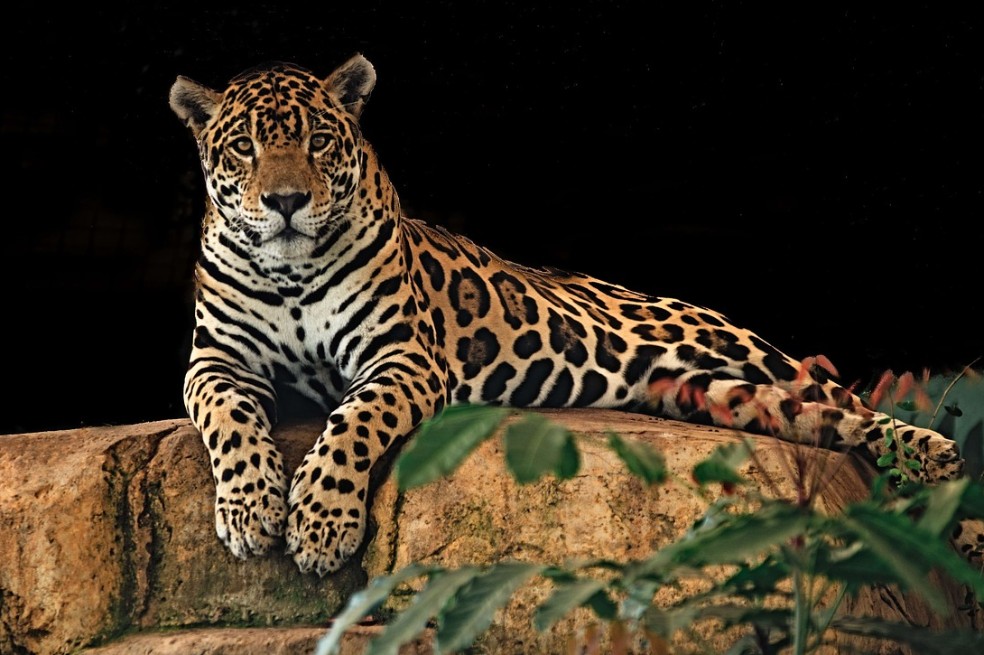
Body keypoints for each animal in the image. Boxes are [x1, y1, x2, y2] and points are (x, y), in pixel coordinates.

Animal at [169, 54, 983, 577]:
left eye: (317, 141)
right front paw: (250, 510)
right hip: (714, 394)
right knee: (820, 418)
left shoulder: (401, 357)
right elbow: (227, 419)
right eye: (243, 149)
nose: (285, 201)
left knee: (847, 401)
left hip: (742, 346)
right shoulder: (217, 360)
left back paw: (944, 473)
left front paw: (319, 523)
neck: (289, 271)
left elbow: (352, 425)